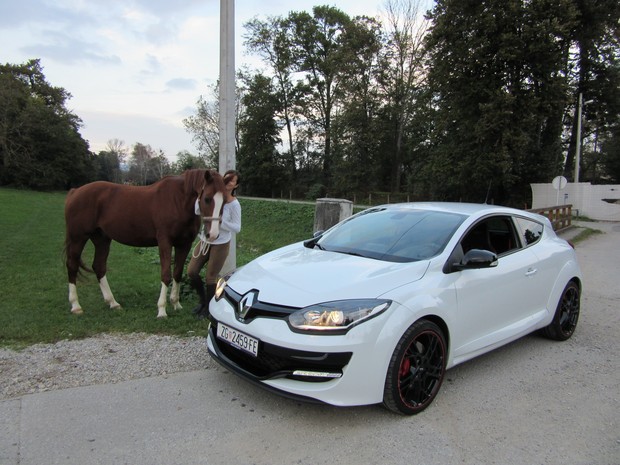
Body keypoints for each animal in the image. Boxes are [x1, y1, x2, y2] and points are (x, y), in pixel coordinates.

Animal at [63, 169, 226, 318]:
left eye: (224, 200)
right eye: (207, 198)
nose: (213, 235)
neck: (177, 201)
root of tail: (75, 191)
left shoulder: (184, 244)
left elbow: (177, 274)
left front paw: (176, 304)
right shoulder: (165, 242)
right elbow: (166, 275)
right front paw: (162, 310)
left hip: (102, 239)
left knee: (99, 267)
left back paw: (113, 303)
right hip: (78, 238)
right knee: (72, 265)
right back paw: (76, 306)